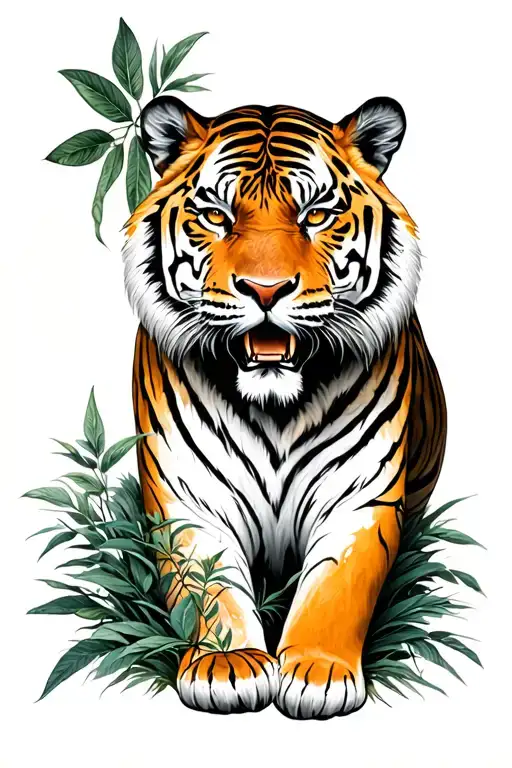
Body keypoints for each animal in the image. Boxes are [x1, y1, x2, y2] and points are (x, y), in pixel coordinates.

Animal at [123, 94, 447, 719]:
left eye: (316, 214)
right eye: (217, 215)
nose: (266, 290)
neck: (274, 407)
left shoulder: (361, 499)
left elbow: (336, 588)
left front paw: (319, 673)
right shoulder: (187, 499)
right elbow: (210, 586)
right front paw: (227, 665)